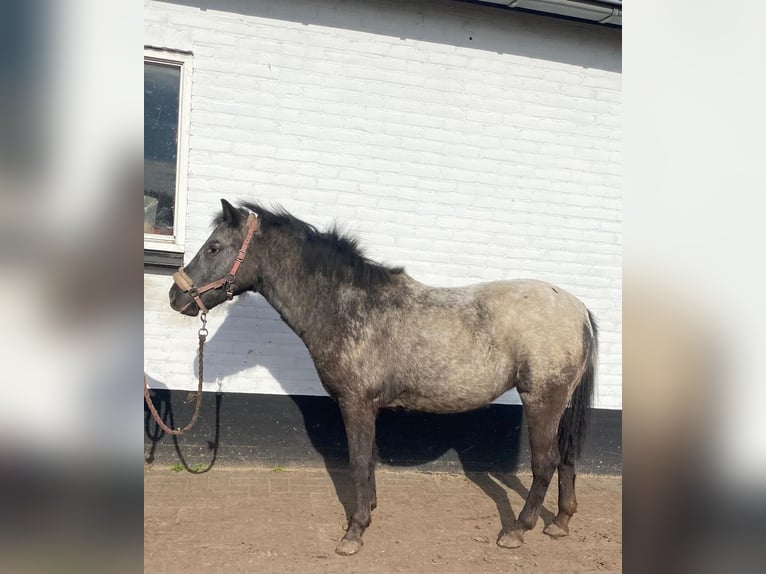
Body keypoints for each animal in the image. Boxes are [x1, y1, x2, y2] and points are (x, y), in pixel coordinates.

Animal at [168, 199, 600, 560]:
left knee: (545, 462)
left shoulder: (355, 402)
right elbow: (369, 460)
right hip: (558, 405)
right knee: (565, 458)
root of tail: (579, 309)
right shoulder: (368, 406)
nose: (176, 296)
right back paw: (560, 523)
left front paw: (354, 533)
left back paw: (517, 530)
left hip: (541, 400)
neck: (346, 306)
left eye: (214, 247)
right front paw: (369, 512)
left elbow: (359, 461)